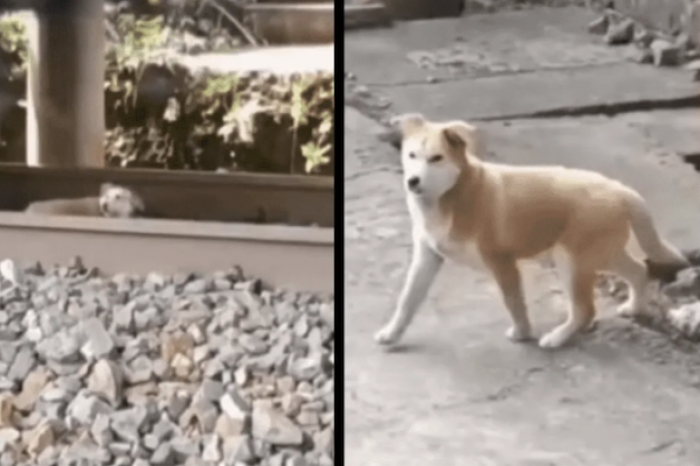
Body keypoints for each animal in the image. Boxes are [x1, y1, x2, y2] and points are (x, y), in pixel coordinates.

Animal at [378, 114, 688, 350]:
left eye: (437, 158)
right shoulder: (427, 256)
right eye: (412, 156)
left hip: (571, 259)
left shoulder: (501, 261)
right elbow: (407, 300)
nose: (412, 181)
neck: (453, 195)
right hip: (602, 253)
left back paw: (557, 338)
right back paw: (635, 307)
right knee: (639, 271)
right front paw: (392, 333)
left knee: (585, 309)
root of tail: (620, 189)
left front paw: (522, 332)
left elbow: (514, 301)